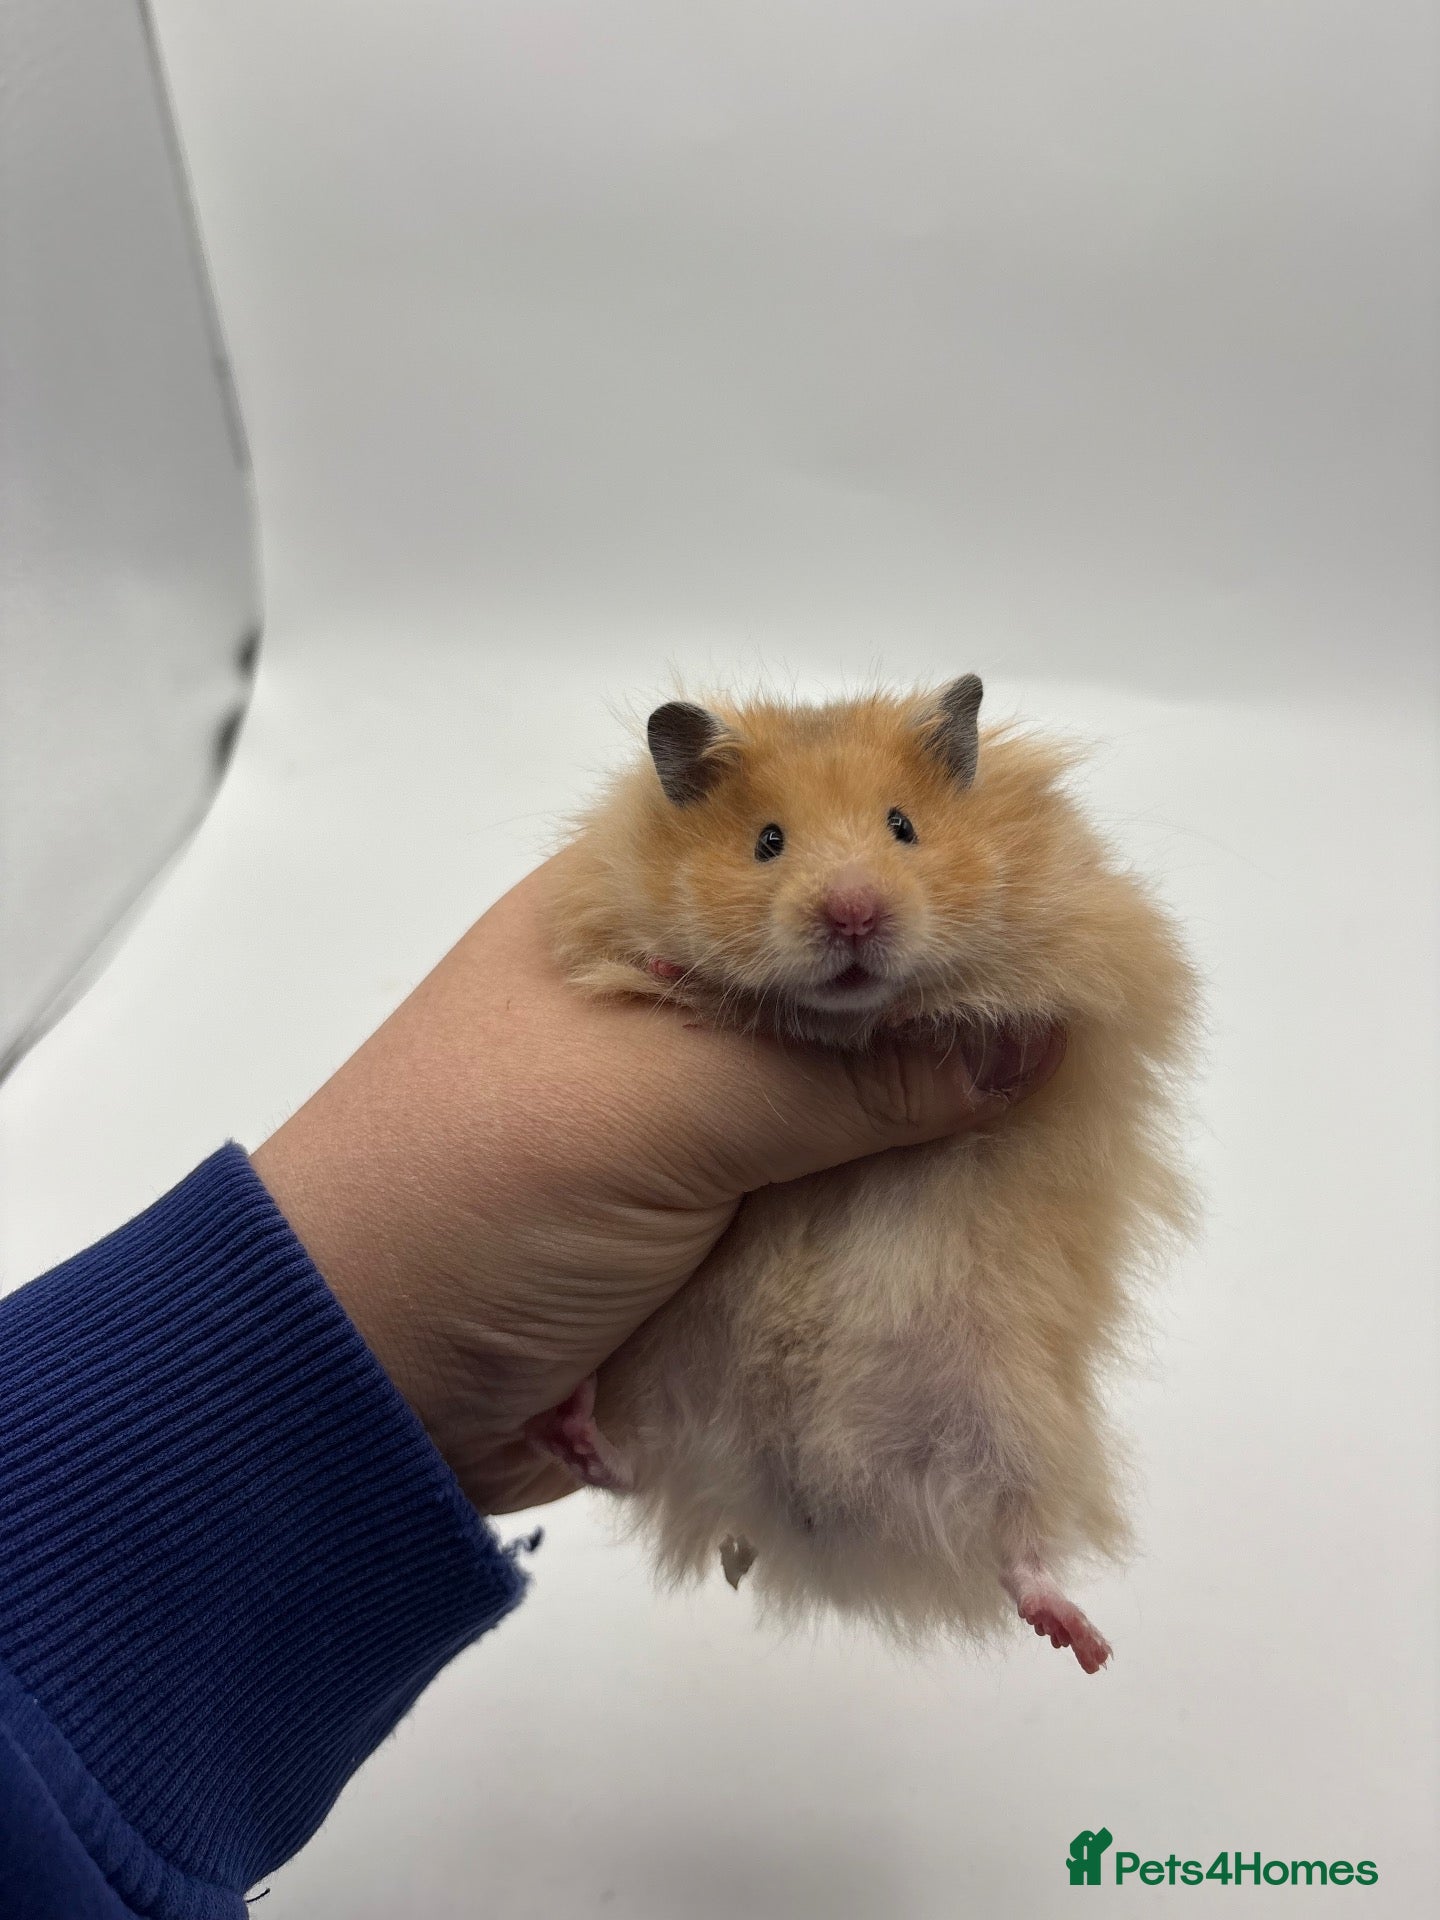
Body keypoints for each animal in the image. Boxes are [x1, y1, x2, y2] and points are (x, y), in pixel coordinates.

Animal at [532, 678, 1198, 1672]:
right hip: (665, 1376)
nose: (853, 915)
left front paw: (940, 1027)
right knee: (632, 1470)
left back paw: (1079, 1640)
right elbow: (654, 965)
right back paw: (572, 1429)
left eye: (903, 827)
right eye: (768, 841)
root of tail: (801, 1512)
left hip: (1005, 1408)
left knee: (1018, 1542)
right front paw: (671, 968)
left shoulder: (1093, 955)